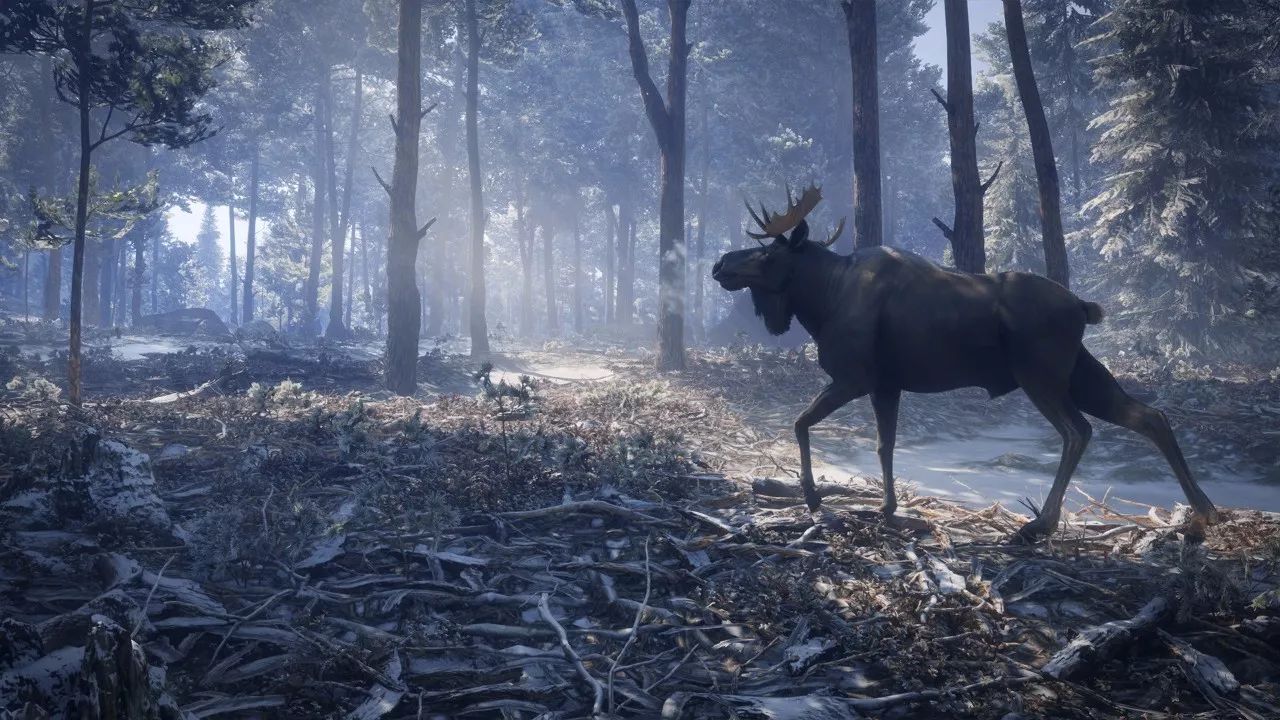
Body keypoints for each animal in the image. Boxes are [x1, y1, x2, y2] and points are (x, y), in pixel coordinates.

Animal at [711, 185, 1218, 538]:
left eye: (767, 252)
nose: (718, 265)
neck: (822, 299)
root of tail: (1082, 306)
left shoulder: (855, 377)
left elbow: (800, 422)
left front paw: (814, 496)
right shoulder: (886, 384)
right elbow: (884, 445)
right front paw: (888, 508)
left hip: (1041, 375)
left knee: (1079, 431)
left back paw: (1040, 525)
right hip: (1080, 374)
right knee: (1150, 416)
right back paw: (1205, 510)